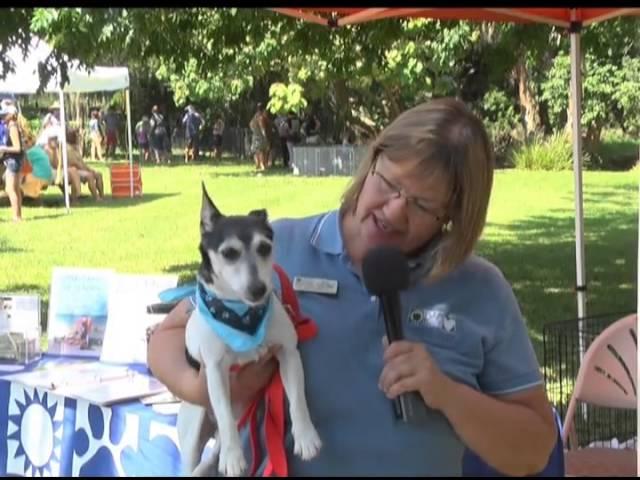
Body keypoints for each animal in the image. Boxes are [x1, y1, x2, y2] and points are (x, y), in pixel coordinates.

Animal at [176, 184, 322, 476]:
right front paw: (233, 456)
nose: (258, 289)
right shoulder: (216, 371)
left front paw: (305, 436)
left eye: (265, 248)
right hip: (193, 428)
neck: (242, 315)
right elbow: (223, 412)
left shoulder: (288, 354)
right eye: (229, 253)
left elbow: (297, 398)